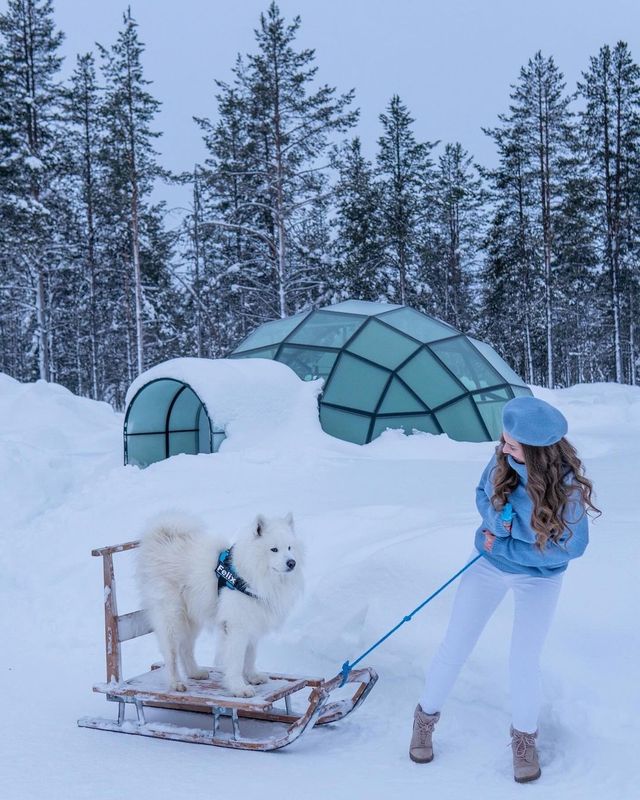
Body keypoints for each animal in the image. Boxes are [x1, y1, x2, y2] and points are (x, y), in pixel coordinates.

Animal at [138, 512, 302, 692]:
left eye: (289, 548)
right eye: (274, 549)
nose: (292, 563)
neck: (249, 575)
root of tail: (163, 540)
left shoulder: (251, 621)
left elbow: (250, 655)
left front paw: (253, 677)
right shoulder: (236, 626)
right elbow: (236, 661)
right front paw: (239, 688)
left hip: (192, 617)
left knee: (185, 648)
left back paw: (195, 672)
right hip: (172, 617)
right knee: (172, 653)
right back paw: (177, 682)